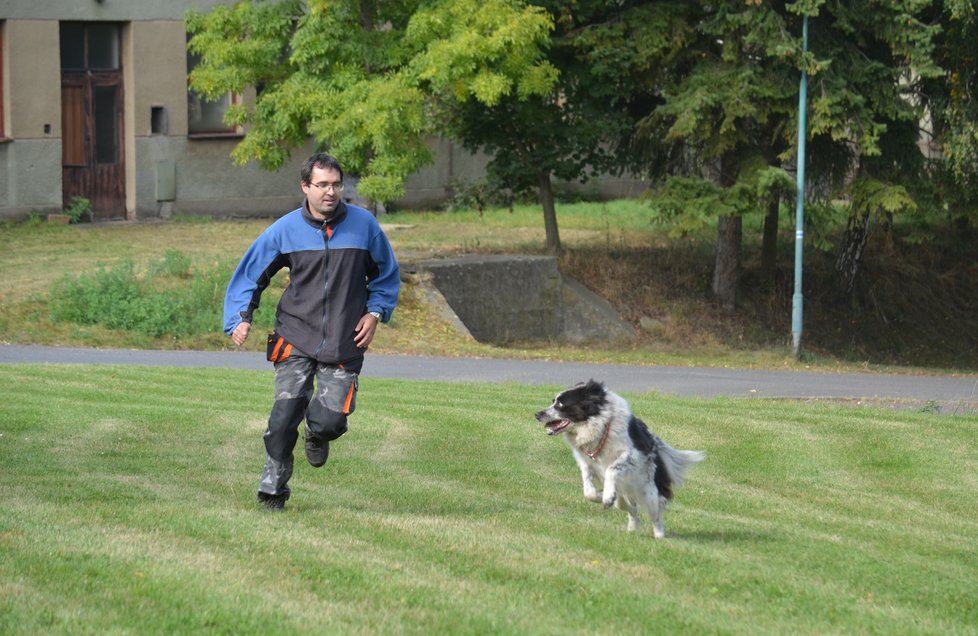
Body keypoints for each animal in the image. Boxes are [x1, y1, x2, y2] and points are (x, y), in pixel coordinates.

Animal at [532, 380, 700, 540]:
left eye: (560, 404)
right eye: (553, 401)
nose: (537, 414)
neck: (597, 426)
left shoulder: (631, 455)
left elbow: (611, 469)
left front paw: (606, 497)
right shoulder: (586, 461)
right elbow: (587, 487)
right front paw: (599, 496)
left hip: (649, 493)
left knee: (656, 514)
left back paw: (660, 536)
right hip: (623, 499)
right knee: (632, 509)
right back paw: (632, 529)